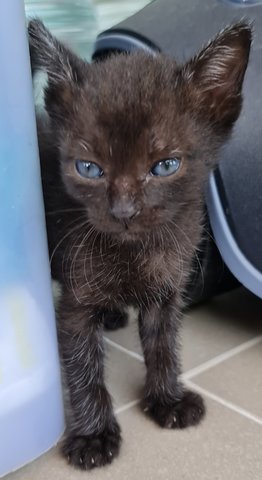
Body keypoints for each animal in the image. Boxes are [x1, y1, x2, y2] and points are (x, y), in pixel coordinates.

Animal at [27, 19, 251, 468]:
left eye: (165, 165)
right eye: (88, 168)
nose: (124, 211)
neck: (138, 253)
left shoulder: (167, 291)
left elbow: (163, 345)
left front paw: (168, 399)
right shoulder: (75, 302)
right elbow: (83, 365)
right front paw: (93, 436)